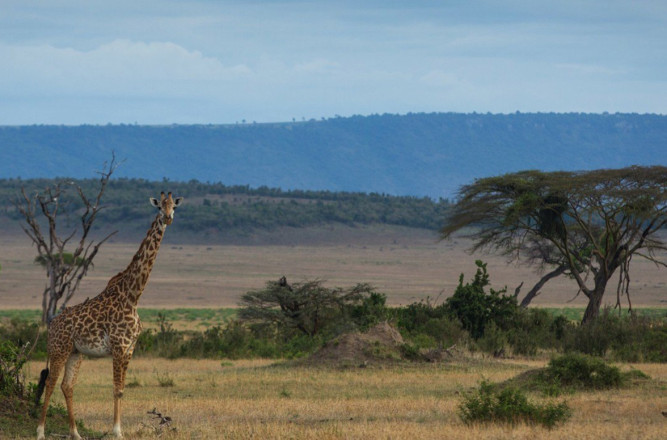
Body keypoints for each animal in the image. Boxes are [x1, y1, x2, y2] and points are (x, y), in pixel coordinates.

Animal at [36, 192, 183, 440]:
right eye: (159, 206)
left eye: (174, 206)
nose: (168, 218)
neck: (133, 296)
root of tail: (52, 322)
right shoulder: (118, 346)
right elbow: (116, 389)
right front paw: (117, 431)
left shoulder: (130, 348)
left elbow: (121, 389)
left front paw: (117, 430)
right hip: (59, 349)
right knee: (50, 382)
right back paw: (40, 431)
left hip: (76, 353)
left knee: (67, 385)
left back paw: (75, 433)